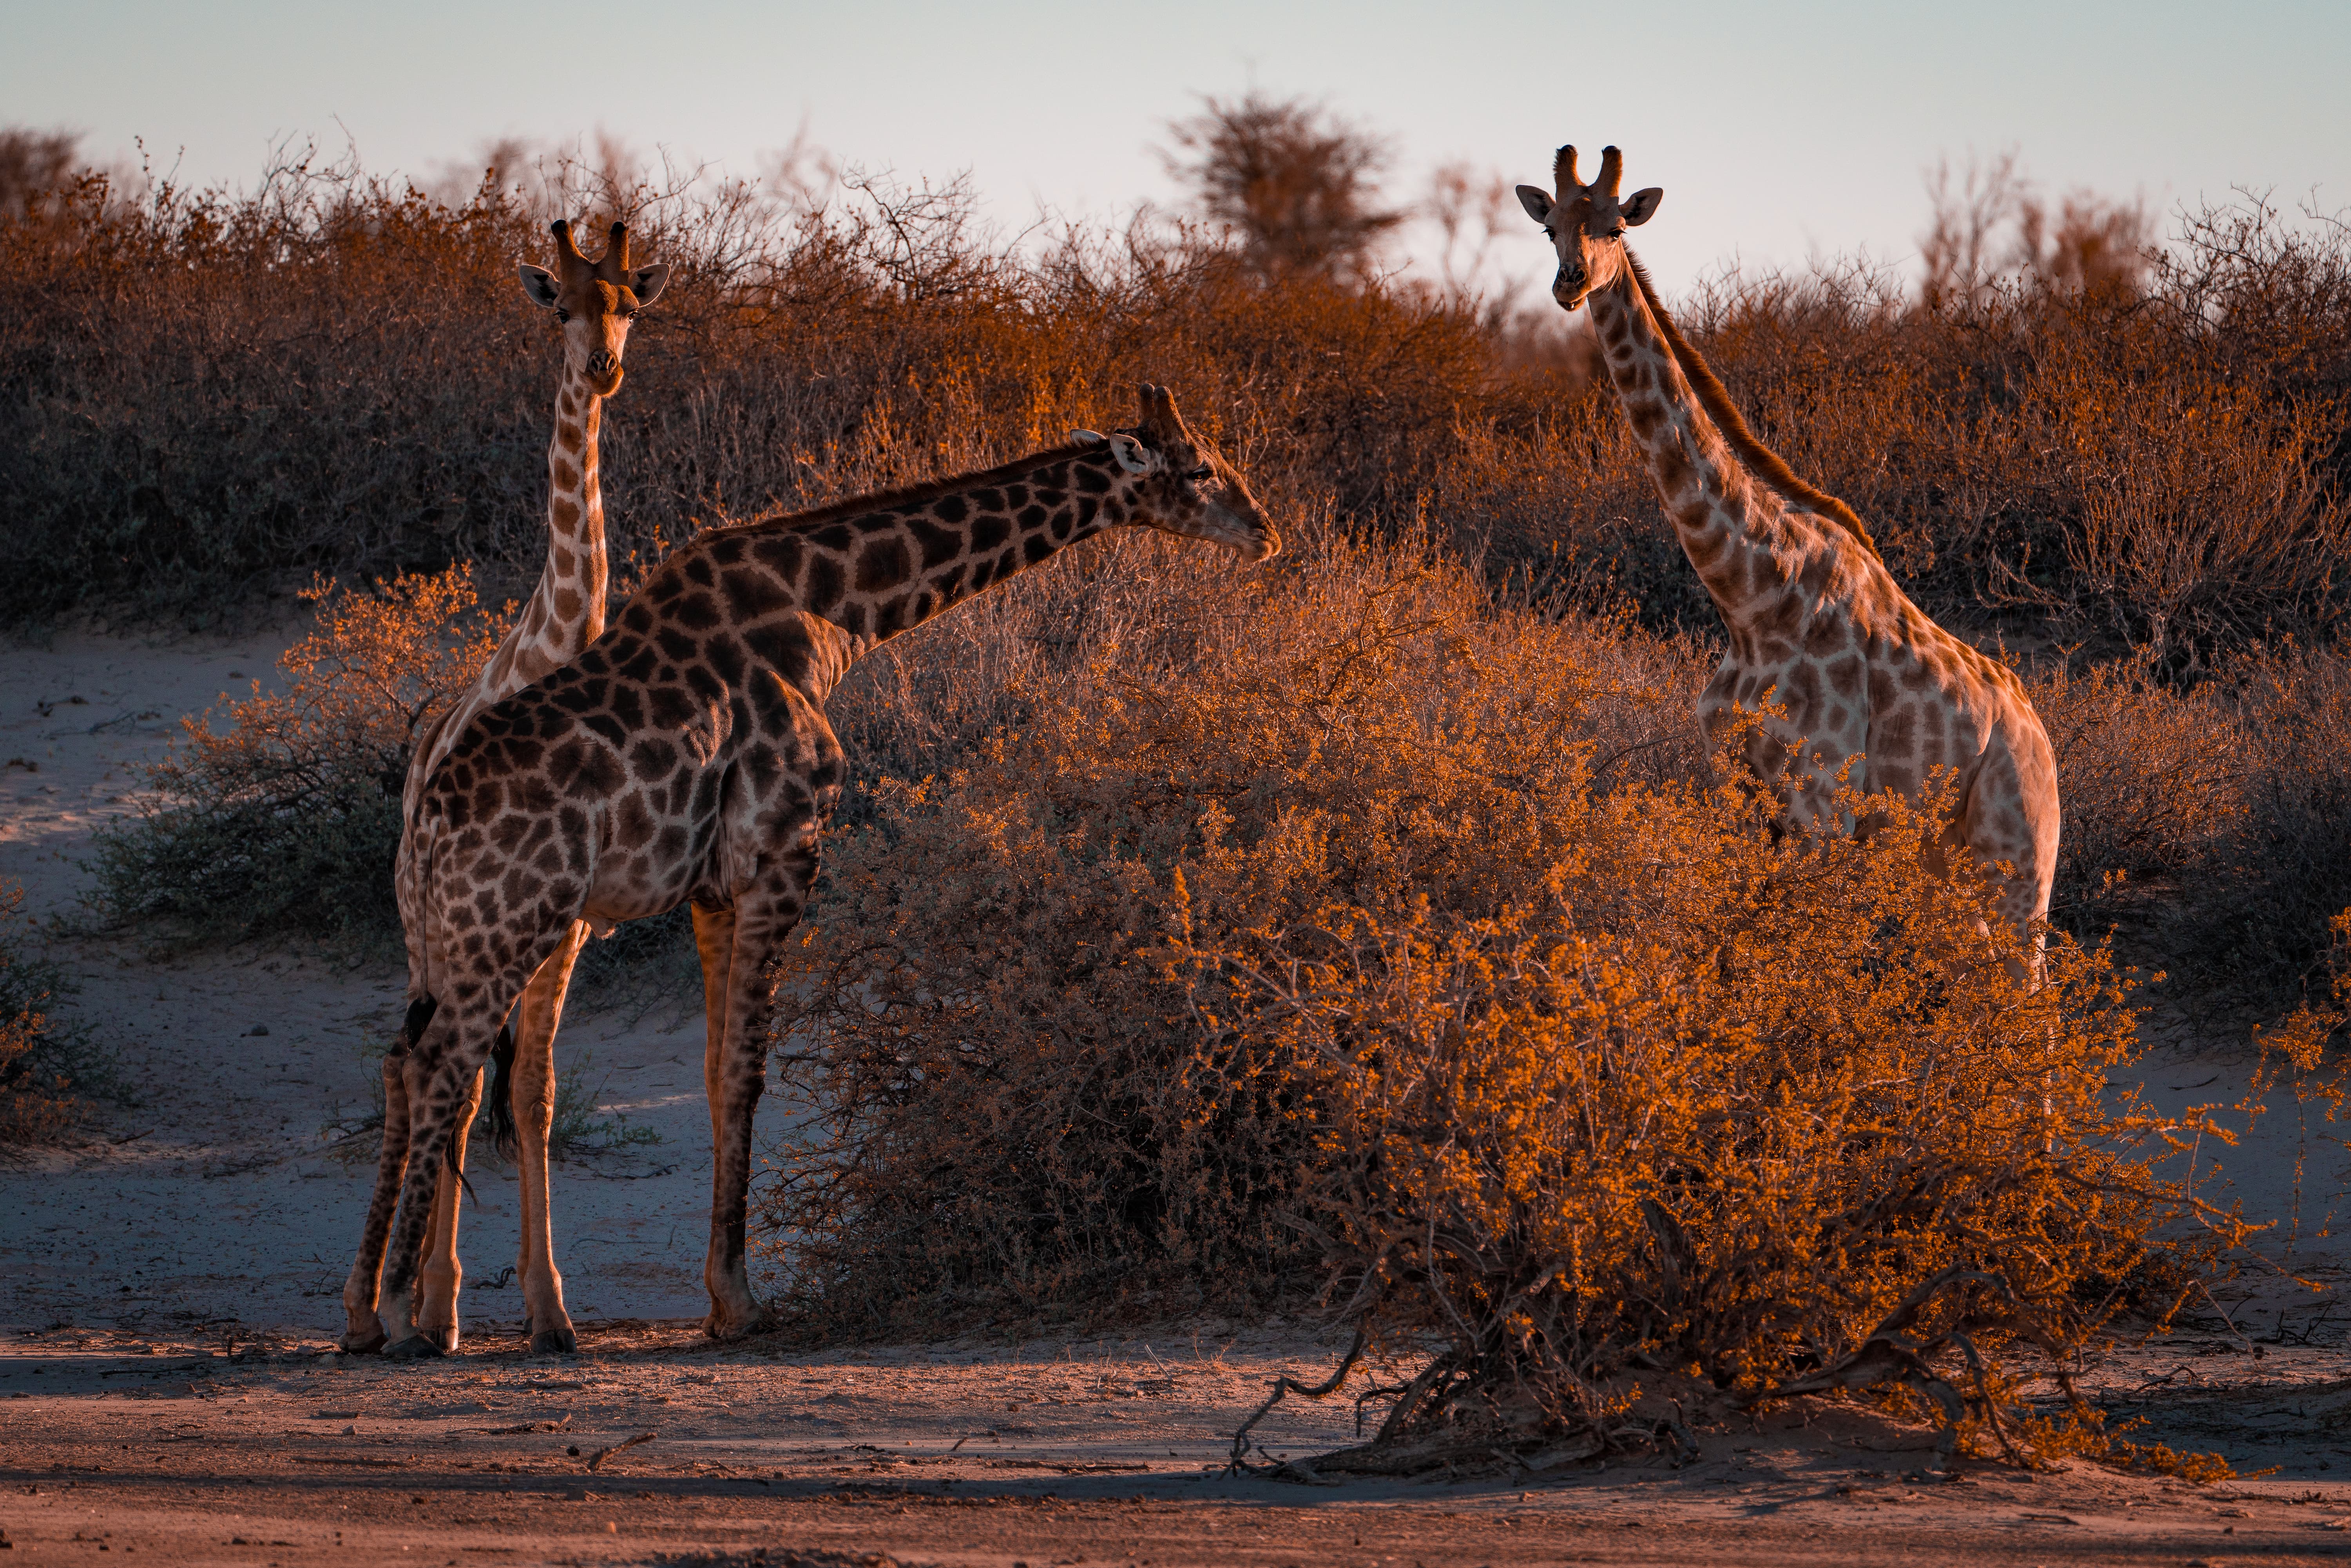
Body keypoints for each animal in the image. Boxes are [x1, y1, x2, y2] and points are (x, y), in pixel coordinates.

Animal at [341, 386, 1279, 1354]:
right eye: (1200, 467)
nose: (1265, 531)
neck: (841, 612)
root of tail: (429, 816)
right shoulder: (785, 853)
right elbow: (748, 1074)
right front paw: (740, 1299)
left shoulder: (714, 889)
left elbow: (716, 1073)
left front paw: (722, 1296)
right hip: (515, 923)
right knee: (441, 1068)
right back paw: (409, 1315)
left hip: (448, 937)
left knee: (405, 1062)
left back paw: (371, 1313)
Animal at [343, 215, 672, 1354]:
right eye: (559, 305)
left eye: (630, 304)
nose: (604, 369)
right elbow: (487, 1078)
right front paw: (442, 1302)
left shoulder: (569, 926)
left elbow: (535, 1091)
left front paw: (551, 1309)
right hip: (427, 929)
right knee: (428, 1060)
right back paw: (401, 1306)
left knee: (467, 1065)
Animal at [1523, 147, 2059, 950]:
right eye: (1550, 226)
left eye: (1617, 227)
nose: (1571, 282)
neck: (1751, 596)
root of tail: (2042, 737)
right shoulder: (1734, 788)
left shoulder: (1822, 805)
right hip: (1944, 861)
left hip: (2019, 858)